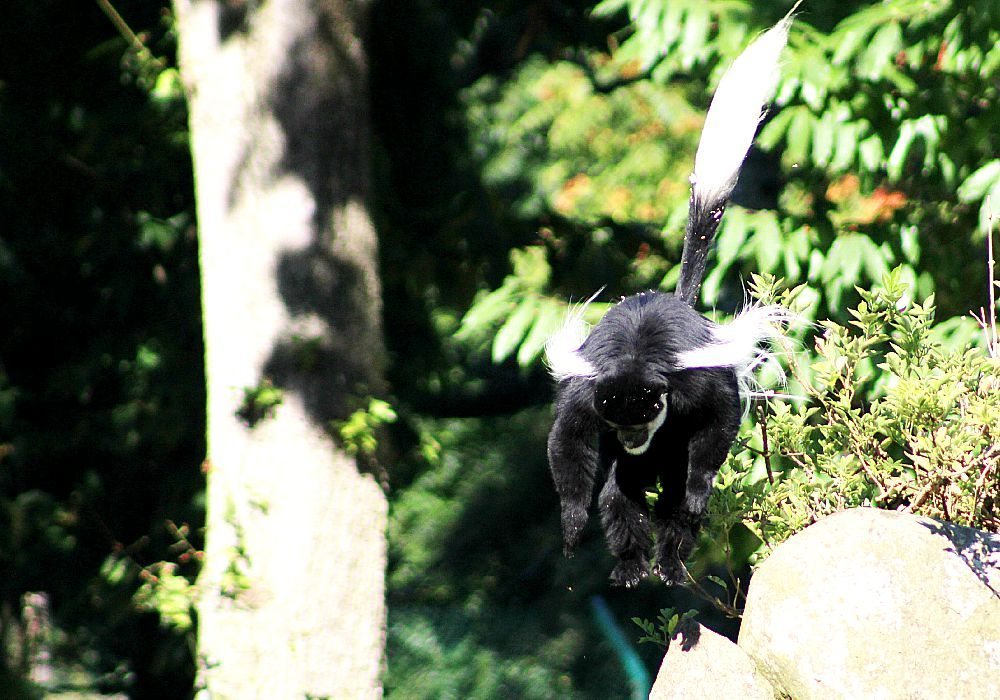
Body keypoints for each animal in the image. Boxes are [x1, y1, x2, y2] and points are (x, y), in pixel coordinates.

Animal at [545, 13, 796, 587]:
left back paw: (671, 561)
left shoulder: (694, 381)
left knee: (673, 486)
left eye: (641, 418)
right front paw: (572, 526)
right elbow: (569, 445)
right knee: (620, 491)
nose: (632, 437)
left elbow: (719, 420)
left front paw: (699, 491)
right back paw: (633, 566)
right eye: (621, 423)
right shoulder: (591, 395)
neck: (638, 361)